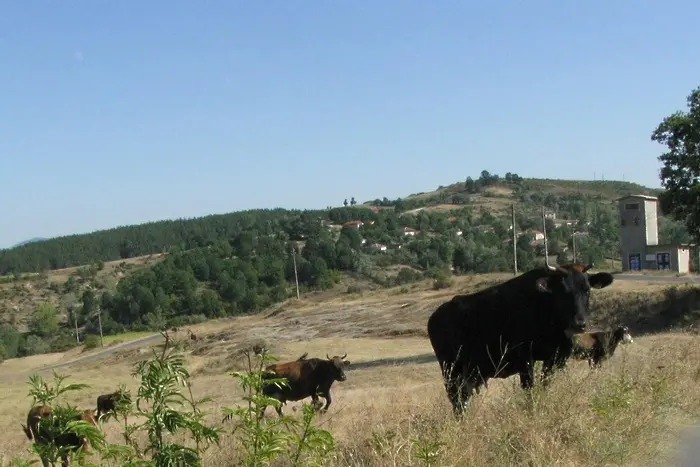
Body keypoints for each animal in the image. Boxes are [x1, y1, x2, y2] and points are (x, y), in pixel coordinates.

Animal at [426, 264, 612, 416]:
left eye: (587, 290)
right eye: (563, 292)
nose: (579, 323)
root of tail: (435, 316)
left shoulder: (554, 358)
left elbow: (545, 385)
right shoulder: (525, 359)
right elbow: (529, 388)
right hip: (451, 371)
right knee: (457, 400)